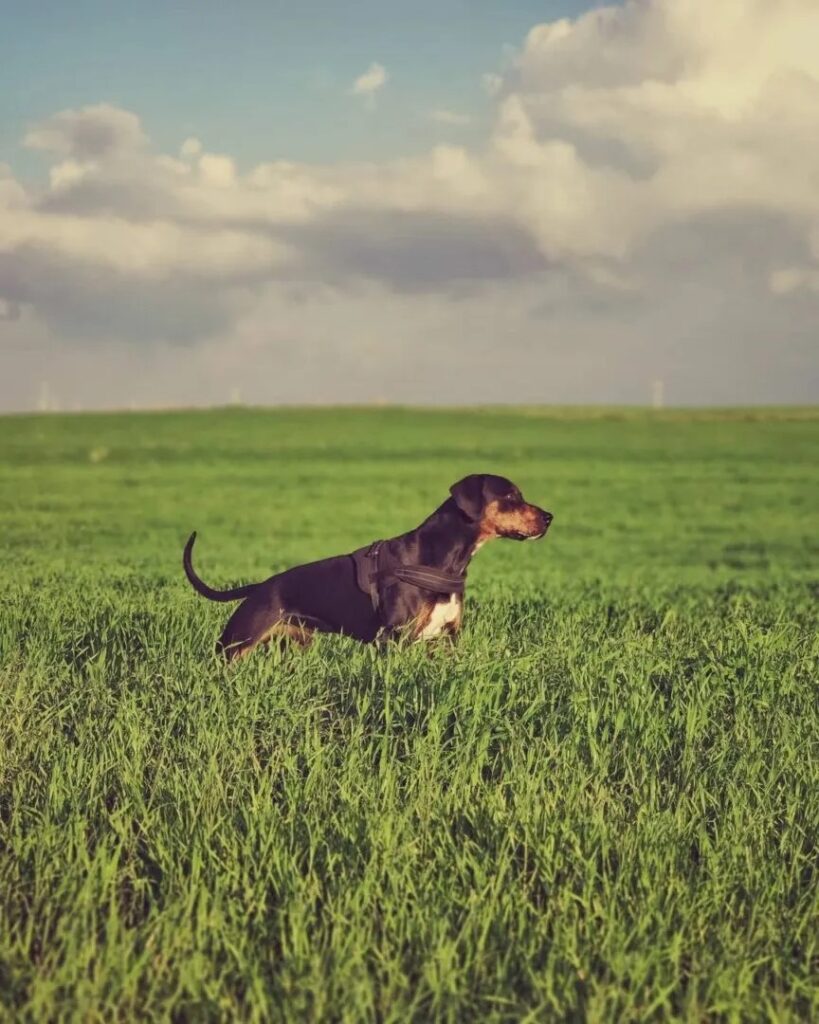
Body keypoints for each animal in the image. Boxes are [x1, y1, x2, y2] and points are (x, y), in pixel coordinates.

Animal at [183, 473, 552, 659]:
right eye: (511, 497)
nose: (549, 517)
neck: (444, 558)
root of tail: (259, 588)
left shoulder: (446, 640)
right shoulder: (395, 639)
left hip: (295, 645)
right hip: (234, 646)